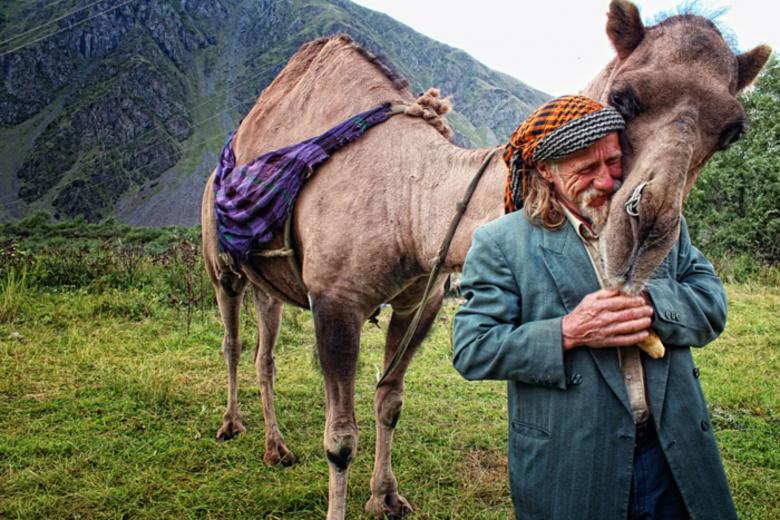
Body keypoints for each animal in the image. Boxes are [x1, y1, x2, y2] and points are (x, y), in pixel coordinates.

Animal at [200, 1, 770, 518]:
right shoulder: (335, 300)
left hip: (268, 285)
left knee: (266, 351)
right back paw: (231, 425)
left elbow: (390, 400)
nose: (644, 235)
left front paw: (385, 498)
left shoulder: (421, 300)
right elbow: (340, 440)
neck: (413, 199)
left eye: (732, 131)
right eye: (622, 97)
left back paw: (276, 447)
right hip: (221, 265)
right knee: (232, 341)